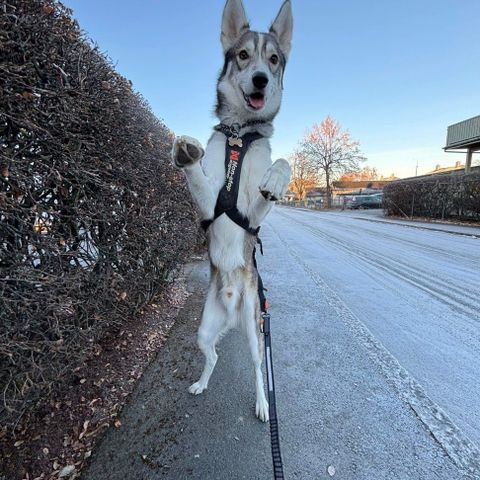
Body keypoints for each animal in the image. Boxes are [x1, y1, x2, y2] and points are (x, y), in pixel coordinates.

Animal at [172, 0, 292, 422]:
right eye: (242, 55)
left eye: (274, 60)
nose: (260, 79)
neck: (241, 133)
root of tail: (229, 304)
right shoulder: (209, 199)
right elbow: (197, 176)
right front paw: (185, 151)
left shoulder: (253, 214)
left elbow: (282, 165)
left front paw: (277, 177)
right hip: (204, 330)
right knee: (214, 355)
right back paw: (202, 381)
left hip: (256, 331)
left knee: (258, 369)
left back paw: (262, 404)